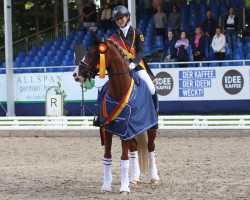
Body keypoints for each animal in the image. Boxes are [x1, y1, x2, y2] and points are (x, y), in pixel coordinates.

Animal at [72, 36, 159, 195]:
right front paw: (106, 186)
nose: (76, 74)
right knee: (134, 150)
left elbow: (124, 159)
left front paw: (124, 188)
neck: (120, 89)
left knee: (151, 147)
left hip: (152, 126)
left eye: (92, 52)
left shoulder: (125, 130)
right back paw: (134, 178)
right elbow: (107, 157)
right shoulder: (108, 129)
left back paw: (154, 177)